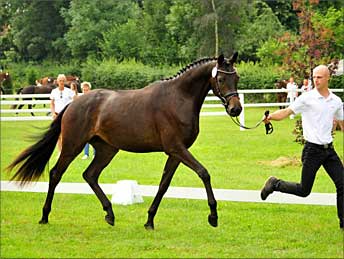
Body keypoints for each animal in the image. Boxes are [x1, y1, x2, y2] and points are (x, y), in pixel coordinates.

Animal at [6, 52, 242, 230]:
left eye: (237, 78)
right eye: (221, 79)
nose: (236, 109)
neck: (178, 98)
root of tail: (74, 103)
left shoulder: (175, 153)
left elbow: (163, 185)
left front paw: (149, 221)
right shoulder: (177, 149)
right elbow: (204, 173)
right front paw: (213, 217)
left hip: (107, 150)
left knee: (90, 175)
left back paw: (110, 214)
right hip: (73, 146)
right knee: (56, 174)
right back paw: (45, 216)